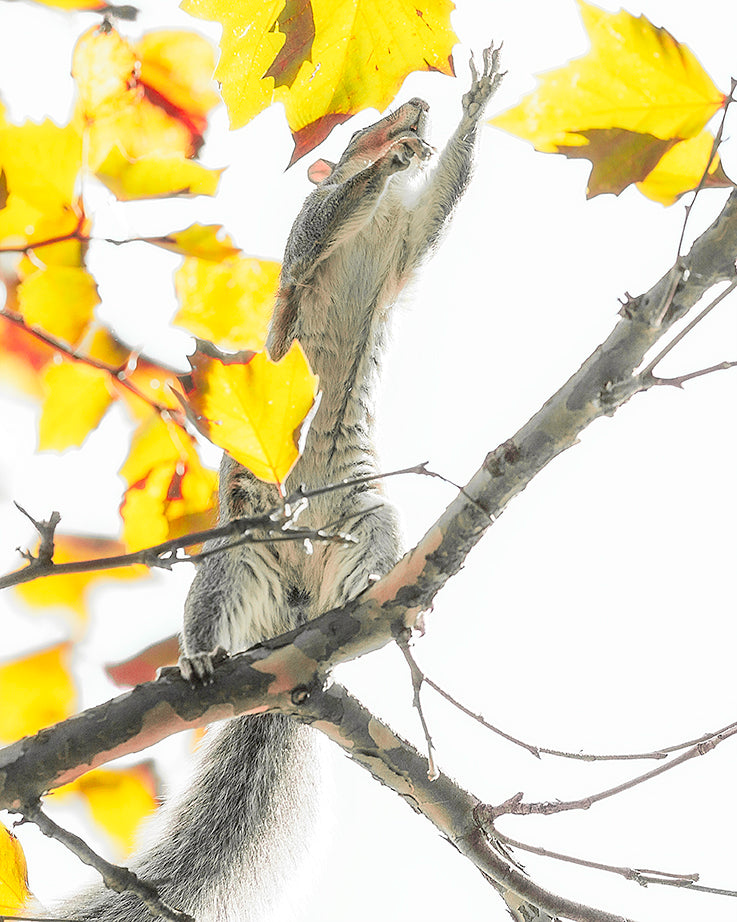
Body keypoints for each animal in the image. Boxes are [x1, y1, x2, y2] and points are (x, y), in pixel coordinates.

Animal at [58, 43, 502, 922]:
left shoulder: (405, 248)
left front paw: (468, 109)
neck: (377, 226)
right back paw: (197, 661)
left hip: (365, 519)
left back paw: (378, 597)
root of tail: (290, 617)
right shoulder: (309, 250)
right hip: (234, 561)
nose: (412, 109)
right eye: (361, 123)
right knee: (208, 613)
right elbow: (319, 224)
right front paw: (385, 161)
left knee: (370, 566)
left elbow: (439, 207)